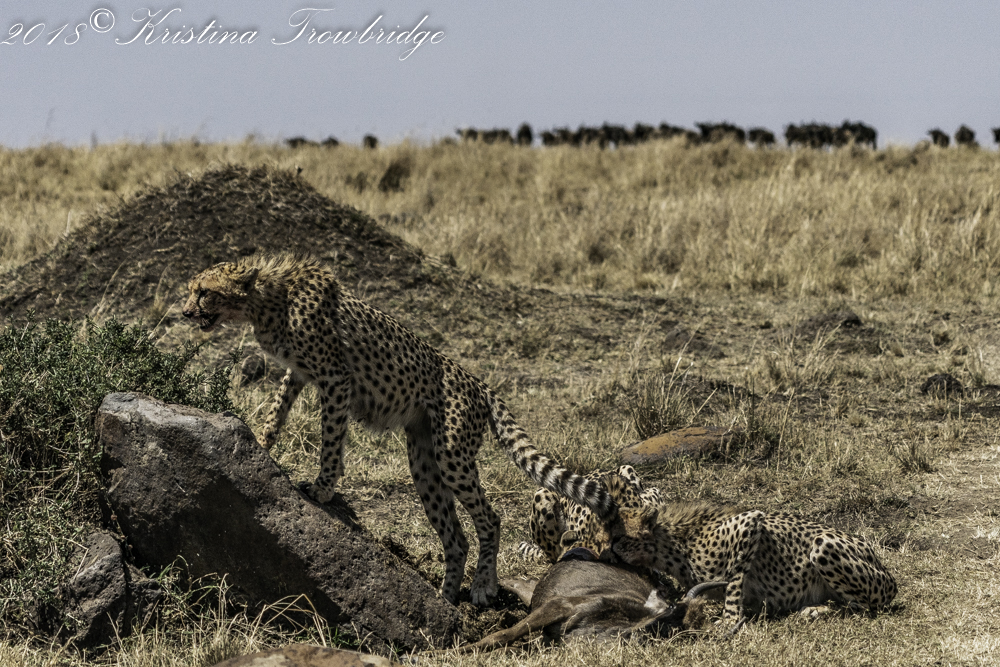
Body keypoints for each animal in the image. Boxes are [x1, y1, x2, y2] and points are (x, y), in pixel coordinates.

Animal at [181, 253, 616, 606]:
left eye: (203, 292)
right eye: (192, 291)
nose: (185, 313)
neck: (268, 299)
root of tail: (478, 381)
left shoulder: (336, 378)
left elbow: (330, 437)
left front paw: (322, 488)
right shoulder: (301, 372)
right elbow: (277, 409)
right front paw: (261, 441)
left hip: (452, 456)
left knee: (489, 519)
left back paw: (481, 588)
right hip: (424, 463)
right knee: (455, 536)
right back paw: (444, 598)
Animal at [609, 501, 897, 630]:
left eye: (619, 537)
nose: (609, 552)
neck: (673, 545)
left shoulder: (750, 522)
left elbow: (734, 580)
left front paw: (729, 620)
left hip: (823, 544)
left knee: (863, 606)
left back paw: (815, 610)